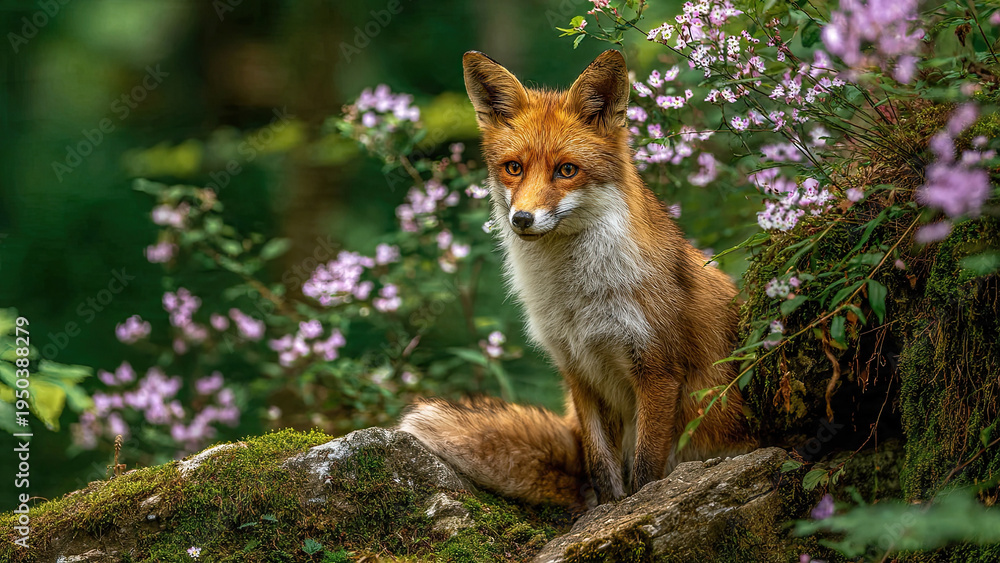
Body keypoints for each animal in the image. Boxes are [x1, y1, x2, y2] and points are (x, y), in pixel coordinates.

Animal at [399, 50, 755, 508]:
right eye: (513, 168)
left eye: (567, 170)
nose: (522, 219)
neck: (579, 300)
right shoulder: (577, 371)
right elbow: (602, 467)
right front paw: (608, 510)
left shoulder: (658, 369)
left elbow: (646, 469)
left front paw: (638, 505)